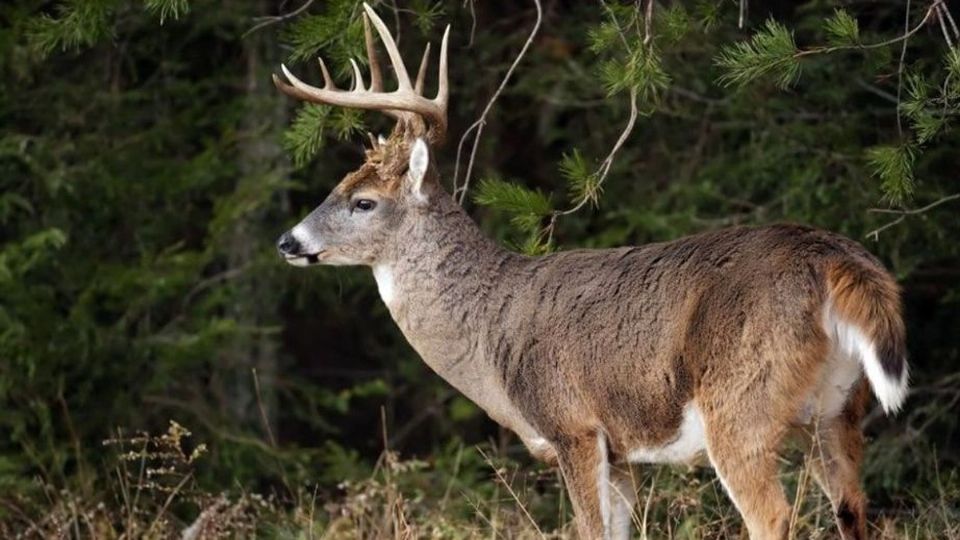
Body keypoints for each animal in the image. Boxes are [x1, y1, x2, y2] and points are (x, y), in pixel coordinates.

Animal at [272, 6, 908, 536]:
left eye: (363, 202)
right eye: (339, 185)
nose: (287, 240)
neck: (488, 330)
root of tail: (833, 259)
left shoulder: (572, 424)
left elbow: (588, 529)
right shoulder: (621, 450)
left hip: (741, 402)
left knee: (773, 517)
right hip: (837, 409)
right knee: (855, 512)